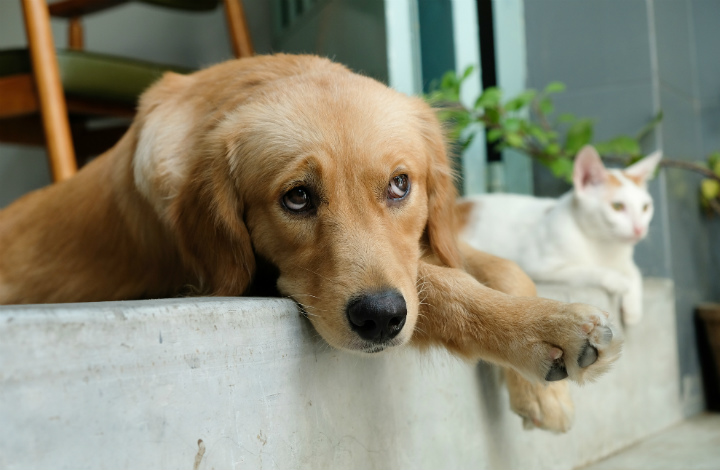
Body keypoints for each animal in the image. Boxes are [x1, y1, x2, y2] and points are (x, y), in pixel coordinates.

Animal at [0, 55, 620, 434]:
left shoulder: (419, 247)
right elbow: (439, 286)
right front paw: (546, 329)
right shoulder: (246, 280)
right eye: (297, 198)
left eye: (400, 185)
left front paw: (543, 390)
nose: (380, 319)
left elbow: (493, 266)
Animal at [462, 145, 664, 324]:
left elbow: (635, 271)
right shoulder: (538, 267)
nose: (639, 229)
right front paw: (618, 281)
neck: (602, 244)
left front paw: (633, 308)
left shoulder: (623, 260)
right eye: (617, 206)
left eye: (645, 207)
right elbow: (587, 270)